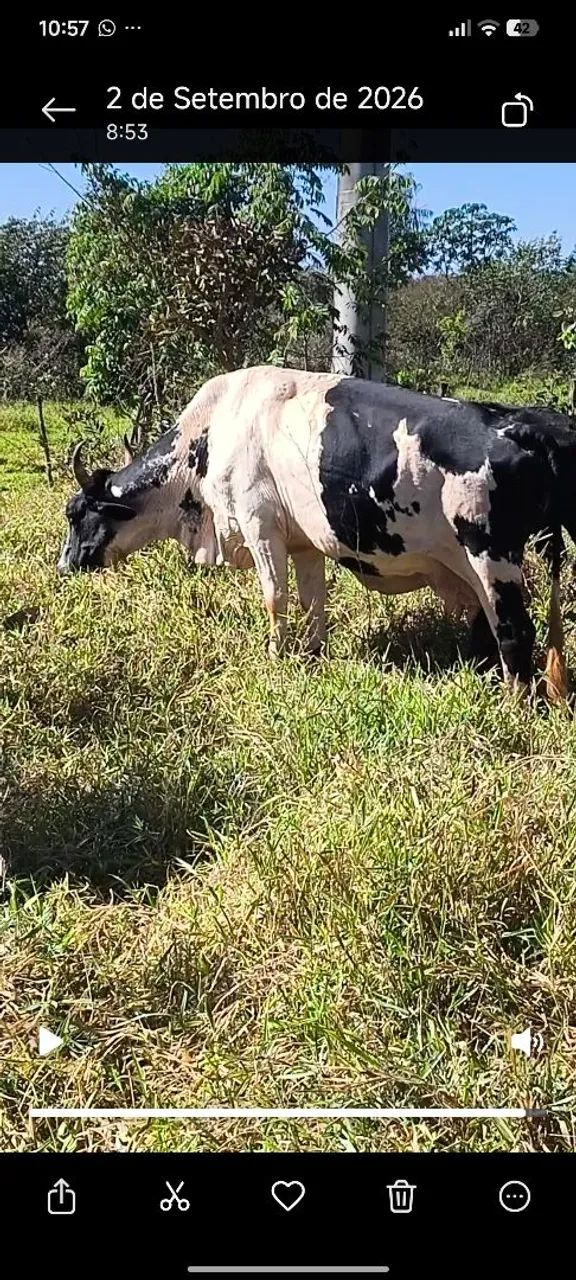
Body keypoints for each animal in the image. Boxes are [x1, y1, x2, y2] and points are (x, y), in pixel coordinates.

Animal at [58, 367, 576, 699]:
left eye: (76, 513)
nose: (65, 564)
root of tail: (527, 423)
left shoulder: (260, 526)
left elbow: (275, 598)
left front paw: (274, 656)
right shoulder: (303, 540)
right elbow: (313, 602)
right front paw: (311, 653)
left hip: (492, 556)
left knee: (514, 630)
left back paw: (512, 706)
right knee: (489, 624)